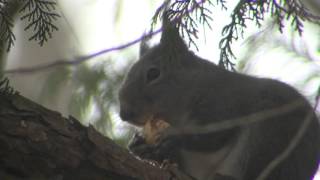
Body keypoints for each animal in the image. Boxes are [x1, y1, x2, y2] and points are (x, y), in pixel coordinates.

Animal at [117, 15, 320, 180]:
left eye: (153, 74)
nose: (124, 114)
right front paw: (142, 147)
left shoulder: (225, 104)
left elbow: (213, 136)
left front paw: (176, 140)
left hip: (267, 137)